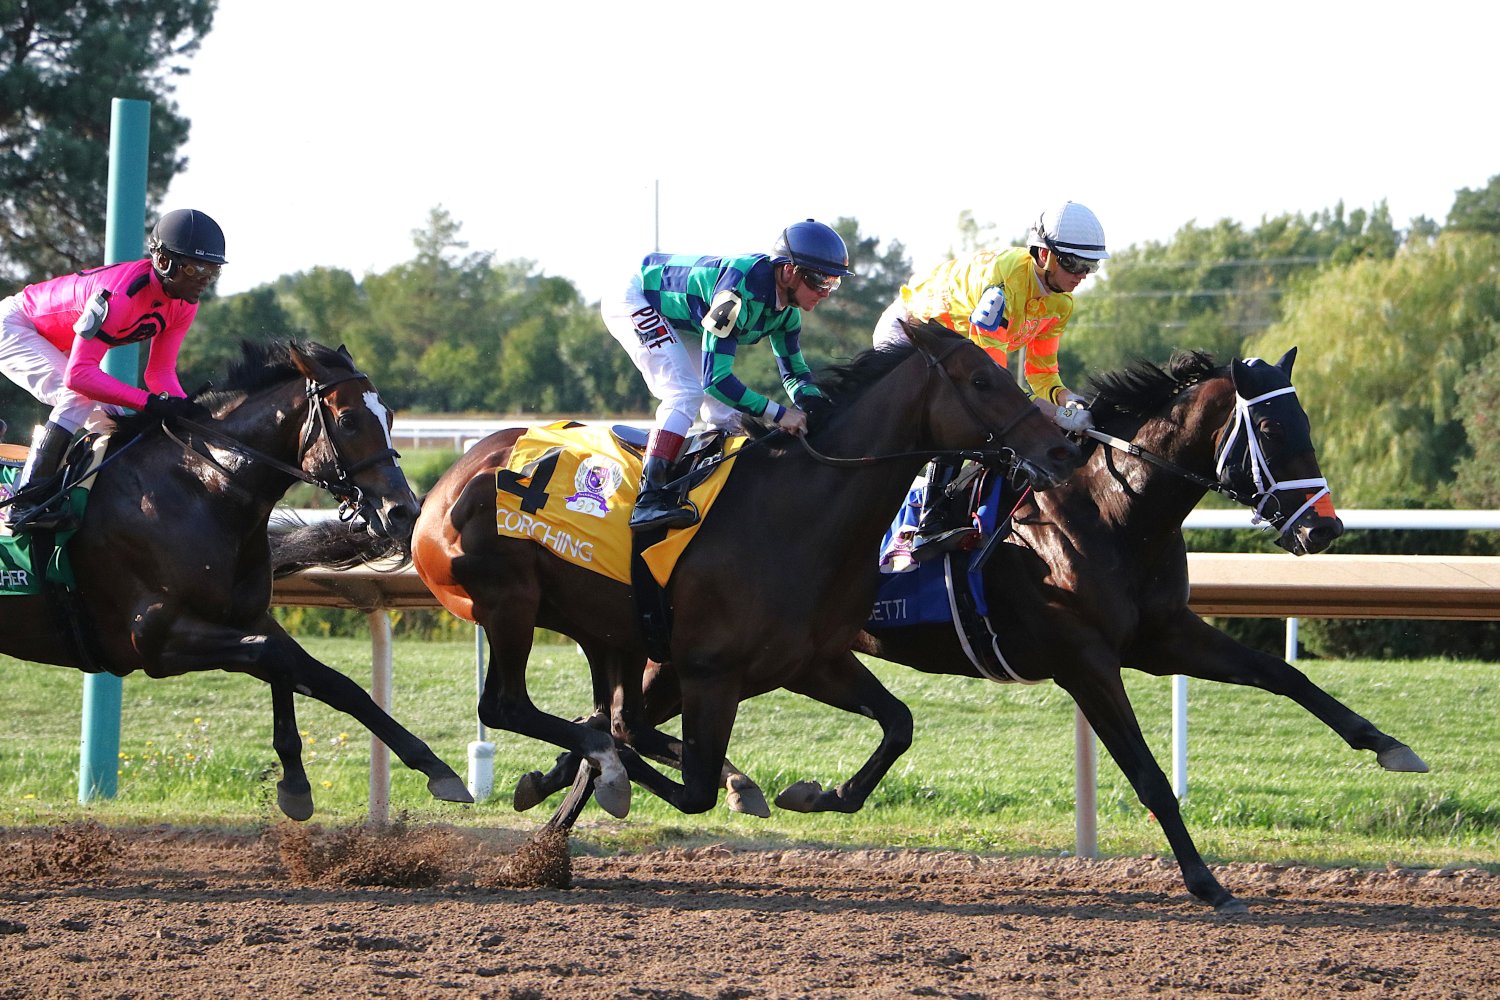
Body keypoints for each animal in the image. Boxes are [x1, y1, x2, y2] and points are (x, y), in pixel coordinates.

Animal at [0, 340, 471, 820]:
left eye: (390, 417)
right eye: (348, 420)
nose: (403, 511)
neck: (200, 492)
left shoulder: (247, 619)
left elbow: (329, 680)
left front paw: (434, 767)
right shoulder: (153, 640)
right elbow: (277, 658)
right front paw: (295, 780)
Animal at [404, 319, 1082, 820]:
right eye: (981, 379)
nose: (1062, 449)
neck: (797, 514)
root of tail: (443, 486)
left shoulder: (811, 661)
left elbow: (899, 724)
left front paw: (820, 793)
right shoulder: (712, 672)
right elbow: (692, 788)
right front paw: (634, 776)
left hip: (601, 627)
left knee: (612, 715)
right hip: (508, 604)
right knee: (512, 707)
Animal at [546, 347, 1424, 913]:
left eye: (1304, 422)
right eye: (1274, 432)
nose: (1326, 529)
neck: (1107, 509)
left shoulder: (1164, 634)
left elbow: (1286, 675)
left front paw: (1388, 744)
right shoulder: (1085, 659)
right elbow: (1147, 774)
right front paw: (1206, 882)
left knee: (608, 721)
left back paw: (552, 812)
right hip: (702, 658)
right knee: (615, 720)